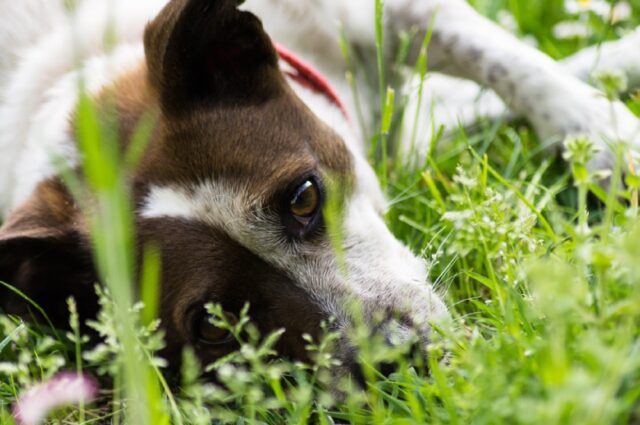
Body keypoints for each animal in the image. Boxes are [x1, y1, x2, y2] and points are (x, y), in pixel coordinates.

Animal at [0, 0, 636, 374]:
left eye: (303, 196)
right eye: (214, 327)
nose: (398, 362)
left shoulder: (389, 12)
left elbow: (513, 66)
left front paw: (610, 137)